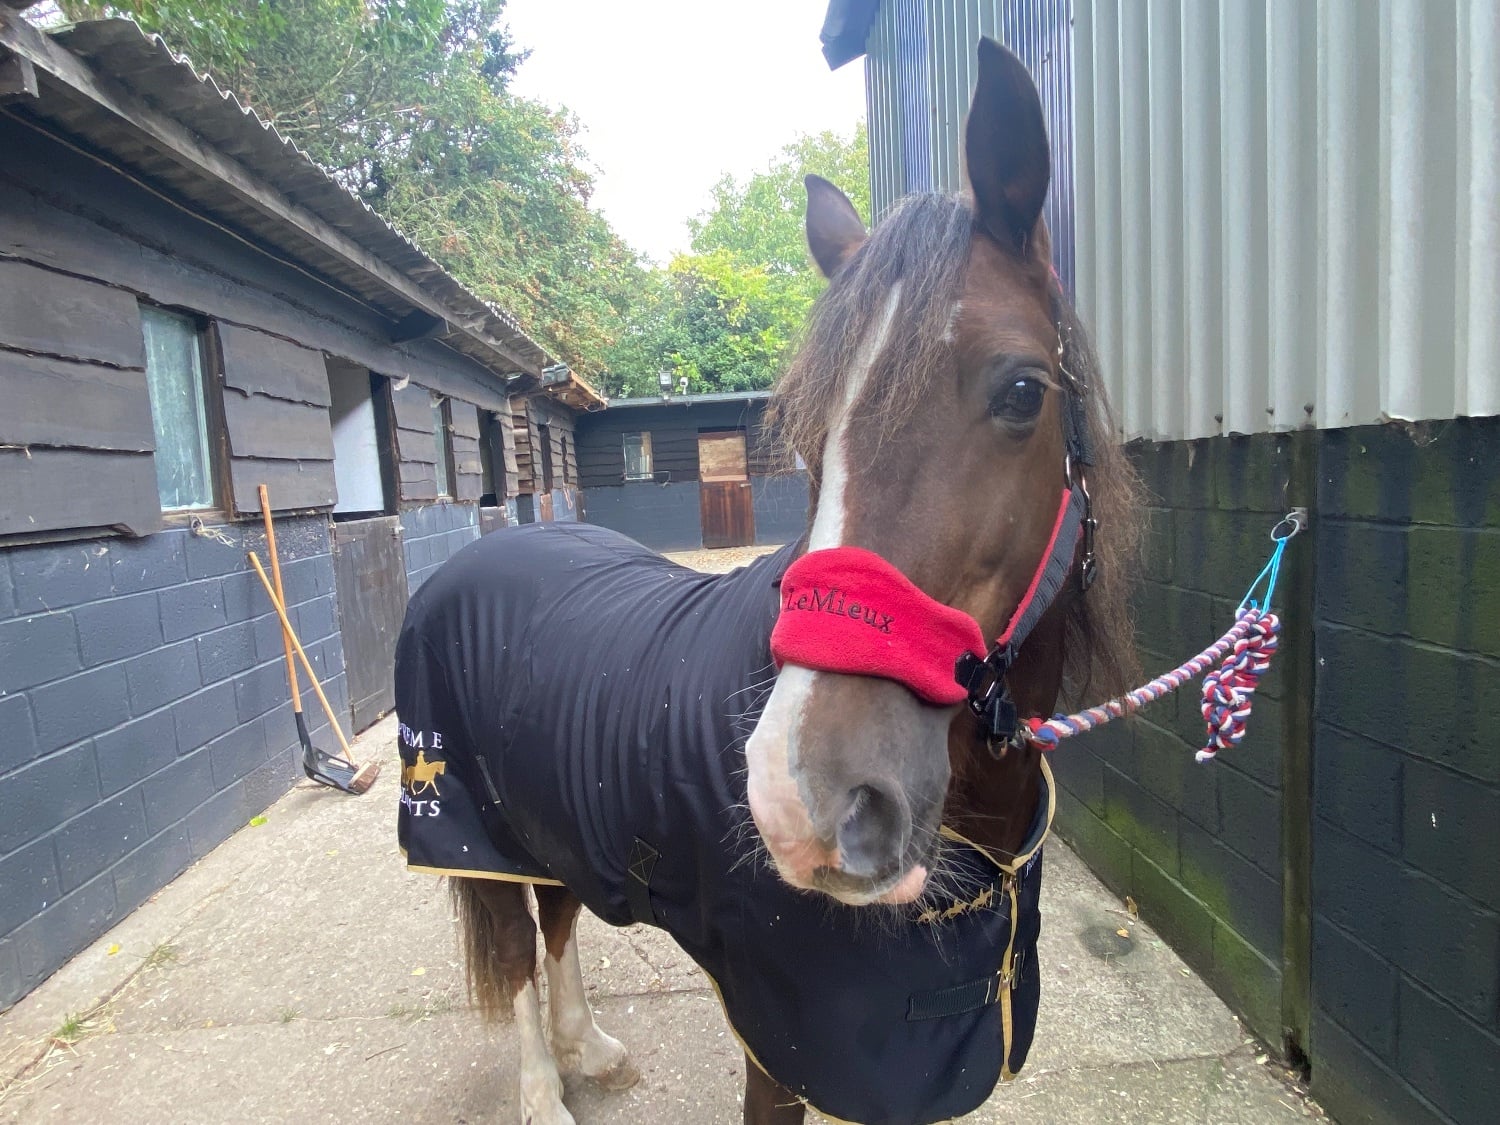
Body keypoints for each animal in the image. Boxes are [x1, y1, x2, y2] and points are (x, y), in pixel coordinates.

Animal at [393, 39, 1137, 1125]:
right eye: (806, 427)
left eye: (1020, 392)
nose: (805, 799)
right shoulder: (780, 1041)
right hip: (471, 835)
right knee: (521, 954)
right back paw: (544, 1088)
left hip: (548, 822)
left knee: (559, 919)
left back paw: (591, 1052)